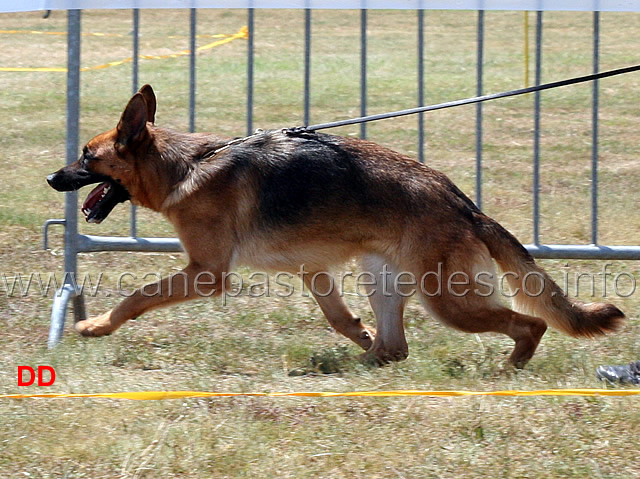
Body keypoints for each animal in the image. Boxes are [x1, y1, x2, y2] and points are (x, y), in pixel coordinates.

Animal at [46, 86, 624, 368]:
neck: (185, 166)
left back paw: (510, 367)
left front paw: (96, 325)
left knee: (531, 324)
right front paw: (355, 333)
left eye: (86, 156)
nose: (51, 178)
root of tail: (466, 205)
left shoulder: (206, 273)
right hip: (382, 279)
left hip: (448, 299)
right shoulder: (313, 269)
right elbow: (337, 316)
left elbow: (137, 296)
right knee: (395, 346)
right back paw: (367, 361)